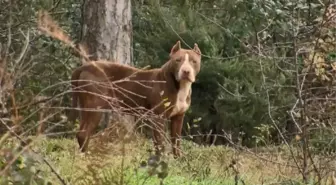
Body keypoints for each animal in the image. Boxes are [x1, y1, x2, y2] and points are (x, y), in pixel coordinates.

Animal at [70, 41, 202, 157]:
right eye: (177, 60)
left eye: (194, 61)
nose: (186, 71)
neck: (180, 86)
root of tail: (84, 67)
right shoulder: (158, 117)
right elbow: (159, 143)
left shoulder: (178, 117)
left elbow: (176, 142)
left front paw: (178, 160)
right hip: (95, 107)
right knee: (84, 133)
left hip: (86, 108)